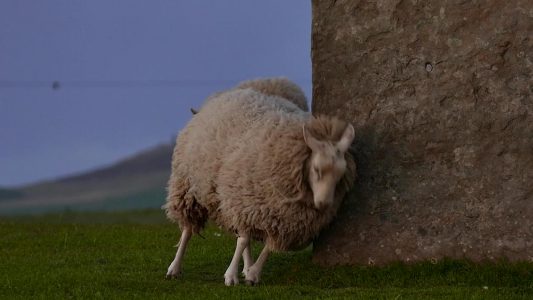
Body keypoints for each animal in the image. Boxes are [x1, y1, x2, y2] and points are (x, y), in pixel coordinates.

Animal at [164, 78, 356, 286]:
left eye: (340, 175)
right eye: (317, 169)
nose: (324, 204)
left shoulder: (281, 217)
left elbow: (268, 246)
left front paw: (253, 273)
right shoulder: (244, 201)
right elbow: (243, 241)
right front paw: (231, 275)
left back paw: (246, 266)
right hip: (188, 188)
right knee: (188, 230)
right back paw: (174, 267)